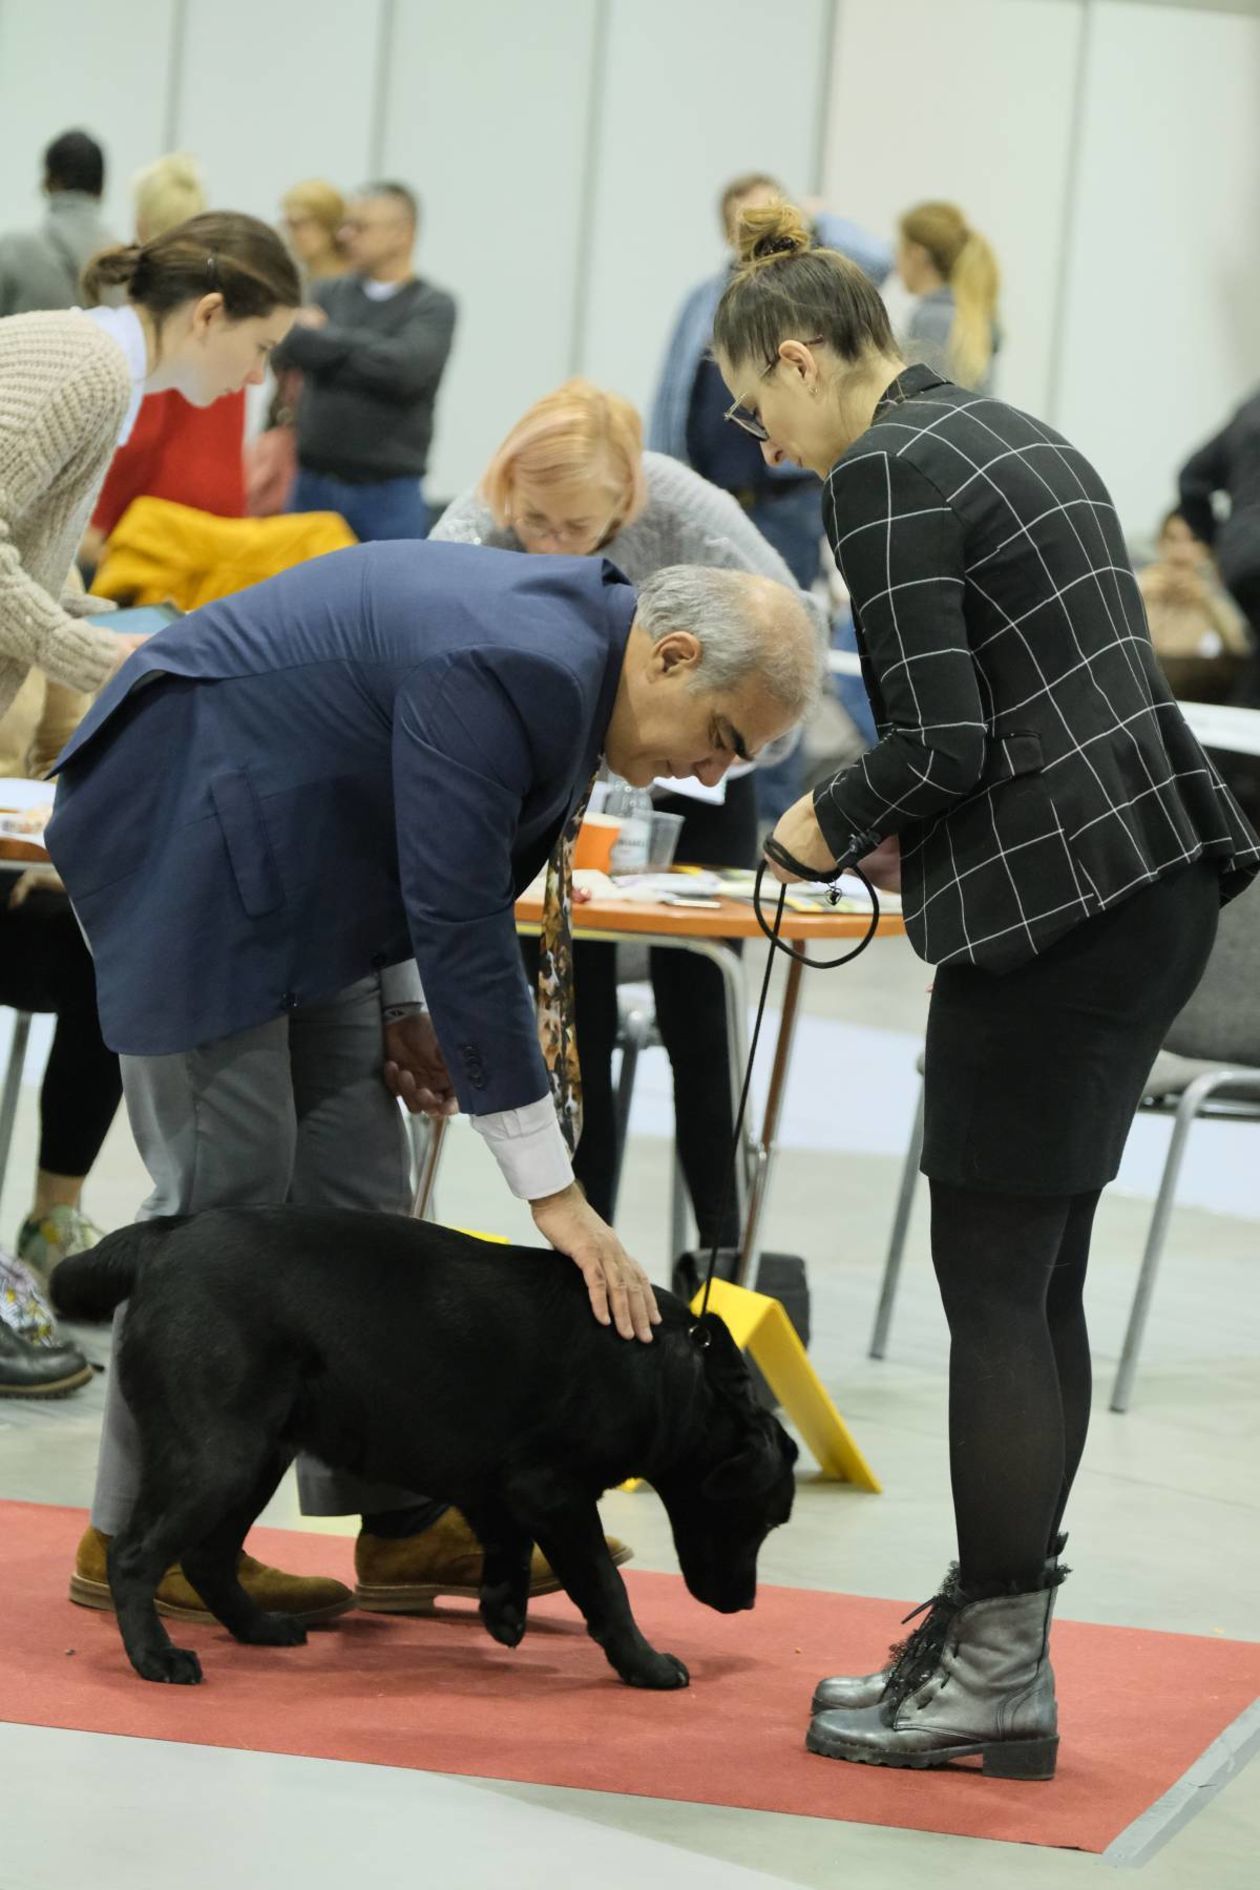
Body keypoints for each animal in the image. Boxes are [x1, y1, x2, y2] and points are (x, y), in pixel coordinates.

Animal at [54, 1217, 797, 1693]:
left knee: (208, 1557)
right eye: (766, 1521)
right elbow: (604, 1586)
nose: (746, 1604)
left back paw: (259, 1627)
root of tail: (162, 1240)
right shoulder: (552, 1488)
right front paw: (645, 1665)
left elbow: (506, 1543)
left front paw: (503, 1609)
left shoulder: (500, 1481)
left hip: (259, 1453)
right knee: (135, 1557)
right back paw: (156, 1657)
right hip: (218, 1454)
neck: (678, 1374)